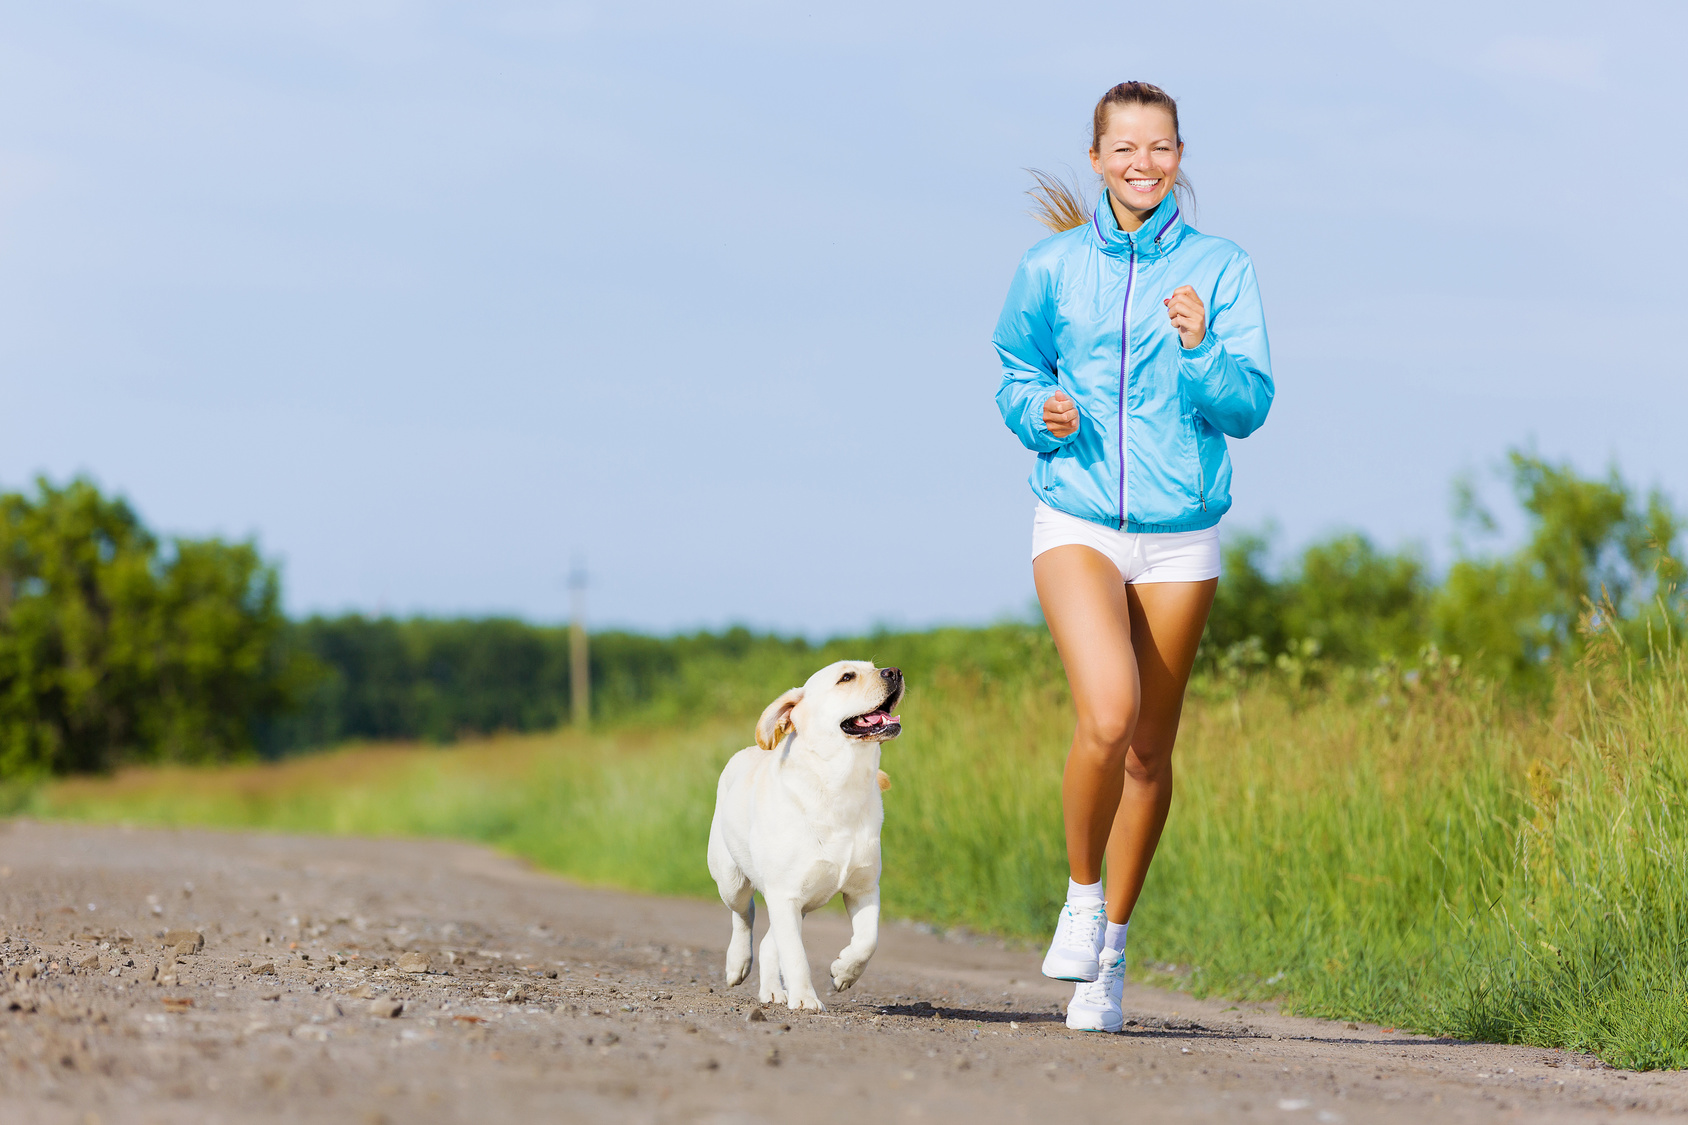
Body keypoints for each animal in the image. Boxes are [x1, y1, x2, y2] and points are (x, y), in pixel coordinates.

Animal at [705, 658, 904, 1006]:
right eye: (846, 677)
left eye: (874, 666)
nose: (894, 672)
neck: (843, 785)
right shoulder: (785, 895)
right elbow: (796, 955)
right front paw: (806, 999)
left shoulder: (864, 888)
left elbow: (868, 940)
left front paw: (843, 972)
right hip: (732, 881)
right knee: (745, 915)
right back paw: (737, 964)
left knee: (769, 942)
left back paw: (772, 990)